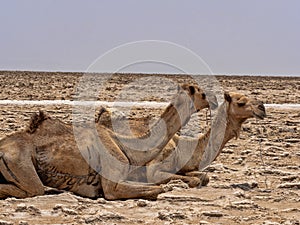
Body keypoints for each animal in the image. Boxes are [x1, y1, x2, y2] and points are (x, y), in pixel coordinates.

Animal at [0, 83, 211, 200]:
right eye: (203, 94)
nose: (214, 100)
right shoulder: (112, 183)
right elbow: (156, 189)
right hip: (20, 162)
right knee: (34, 189)